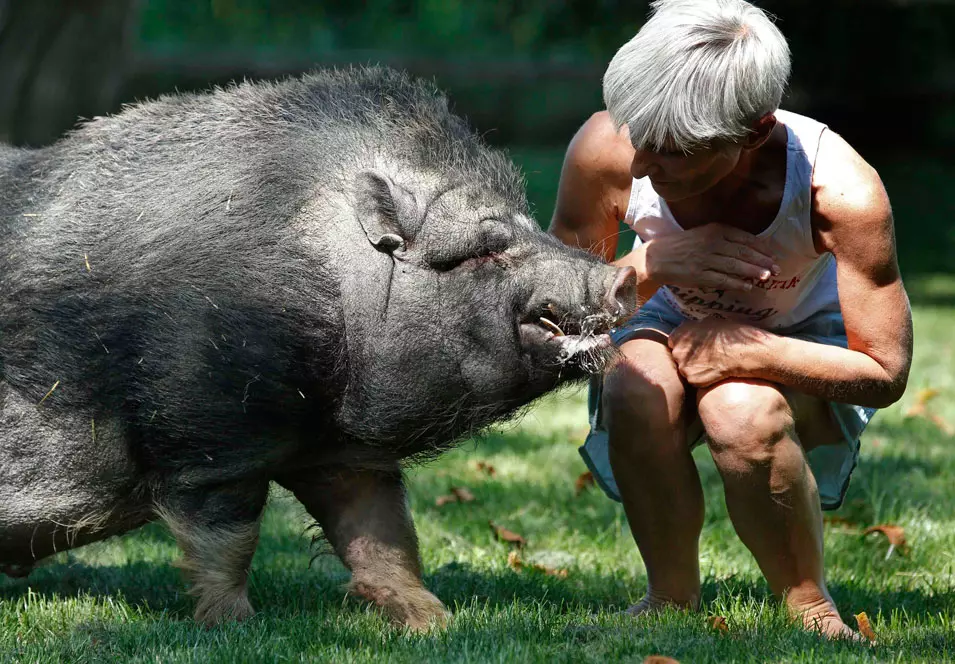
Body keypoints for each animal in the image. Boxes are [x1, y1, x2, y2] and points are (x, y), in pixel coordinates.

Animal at [1, 66, 644, 628]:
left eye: (532, 225)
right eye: (486, 248)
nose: (619, 277)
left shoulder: (343, 452)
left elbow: (385, 537)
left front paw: (432, 622)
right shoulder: (209, 435)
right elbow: (229, 539)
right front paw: (235, 625)